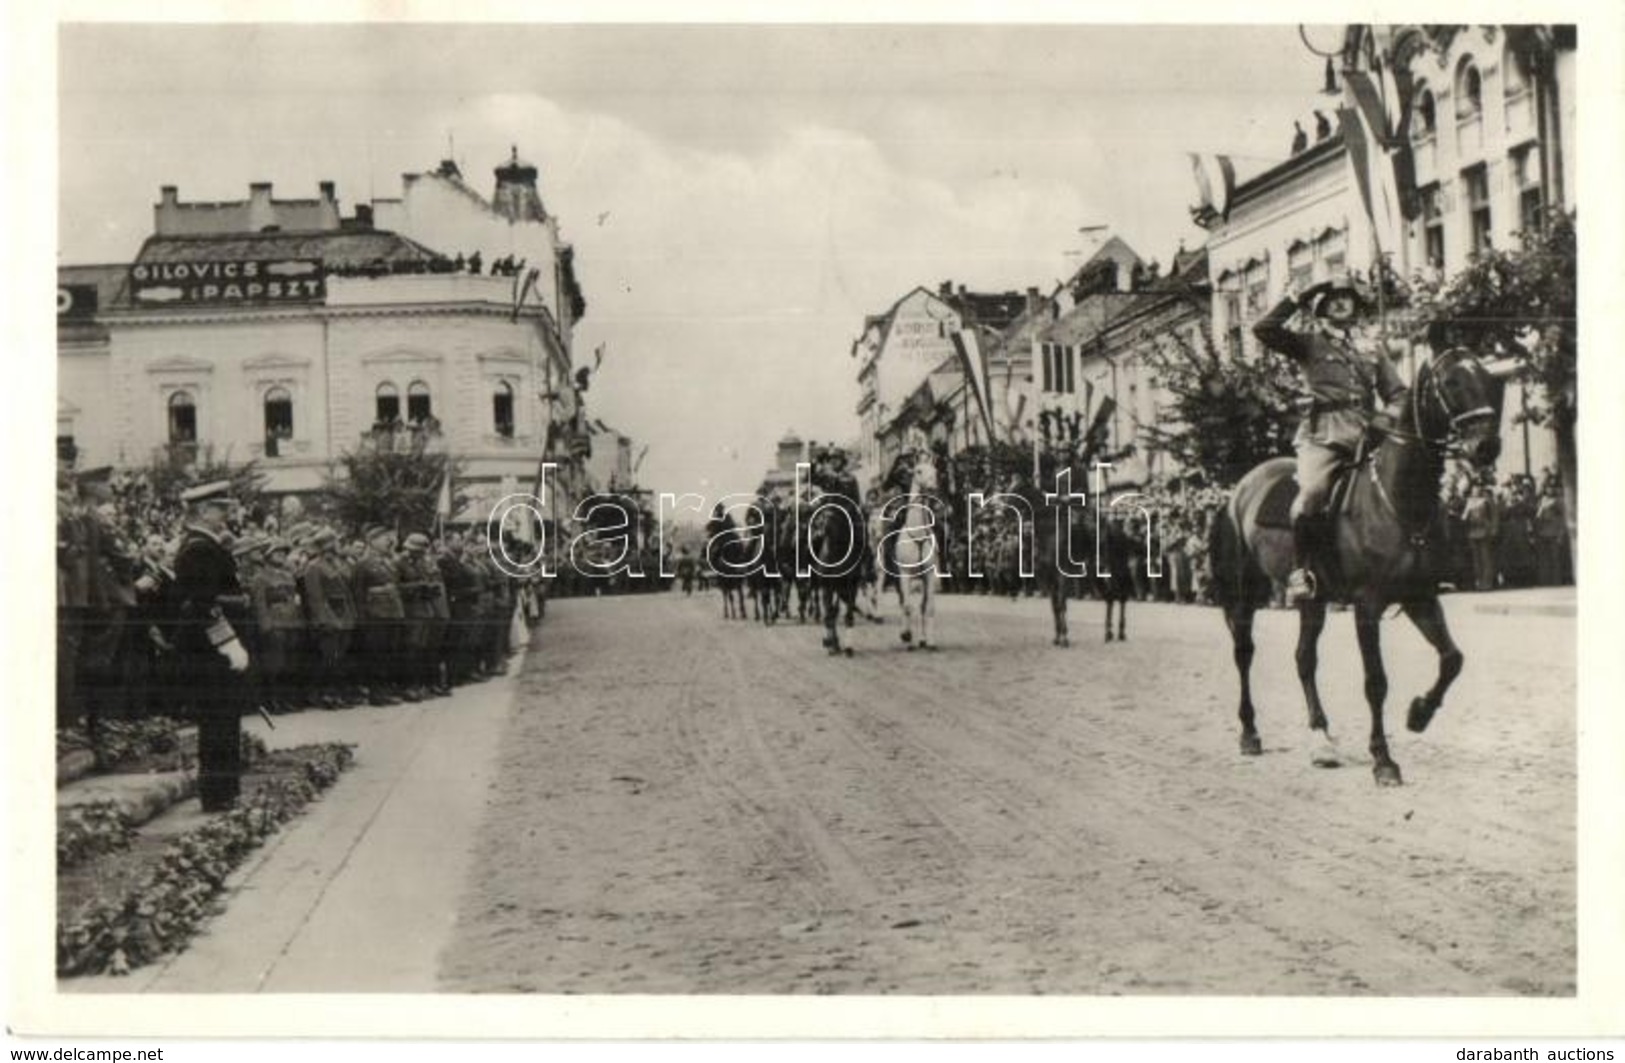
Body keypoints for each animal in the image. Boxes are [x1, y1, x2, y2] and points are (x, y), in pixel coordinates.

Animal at [1215, 354, 1501, 786]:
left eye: (1487, 377)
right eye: (1451, 382)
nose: (1487, 446)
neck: (1396, 498)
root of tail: (1243, 487)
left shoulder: (1420, 597)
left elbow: (1452, 658)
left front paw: (1419, 713)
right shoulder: (1367, 606)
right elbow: (1376, 681)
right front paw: (1383, 760)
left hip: (1313, 600)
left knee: (1304, 659)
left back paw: (1321, 740)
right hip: (1245, 591)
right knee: (1244, 652)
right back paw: (1250, 733)